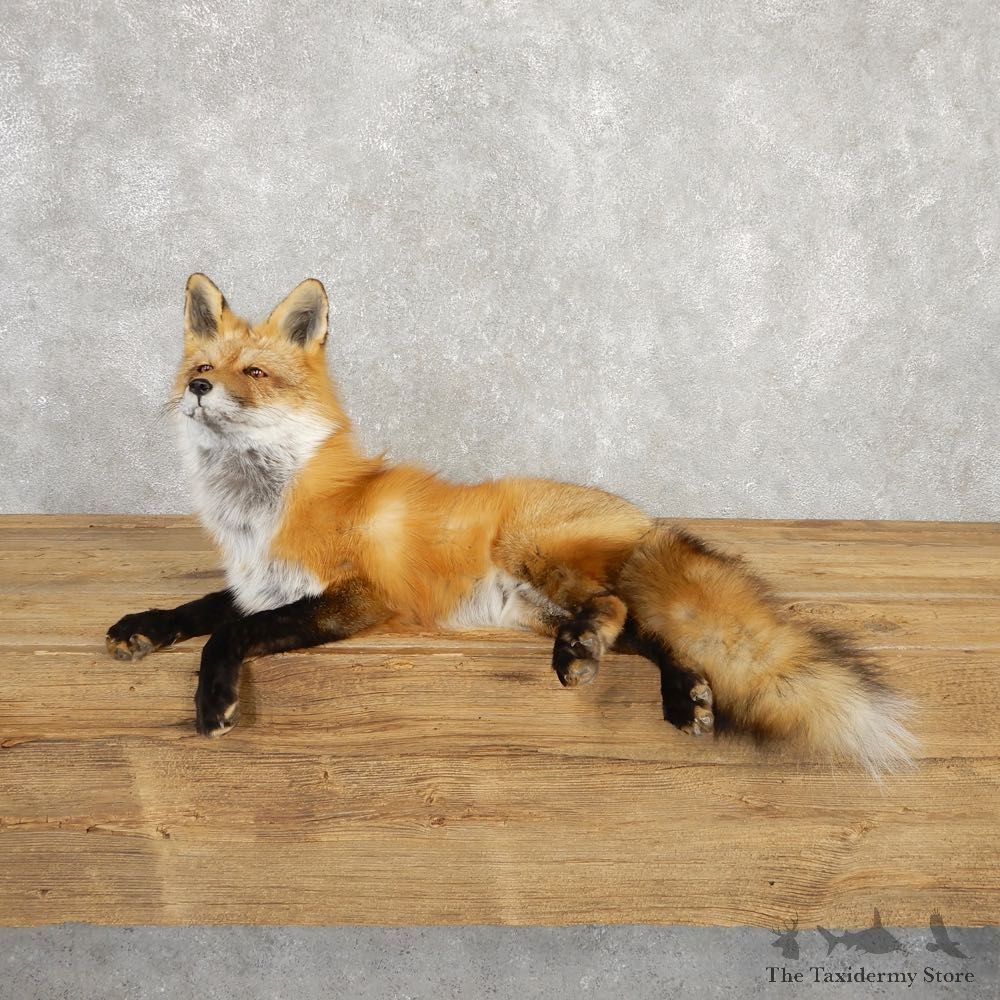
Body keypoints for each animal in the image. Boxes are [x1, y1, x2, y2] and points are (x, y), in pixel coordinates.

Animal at [106, 274, 916, 775]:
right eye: (202, 366)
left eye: (255, 374)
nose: (199, 390)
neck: (258, 511)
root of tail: (644, 516)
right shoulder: (257, 583)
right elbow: (201, 608)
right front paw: (144, 626)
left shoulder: (358, 598)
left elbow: (232, 633)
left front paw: (212, 698)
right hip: (534, 608)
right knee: (646, 633)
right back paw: (676, 692)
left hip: (531, 554)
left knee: (618, 609)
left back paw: (600, 660)